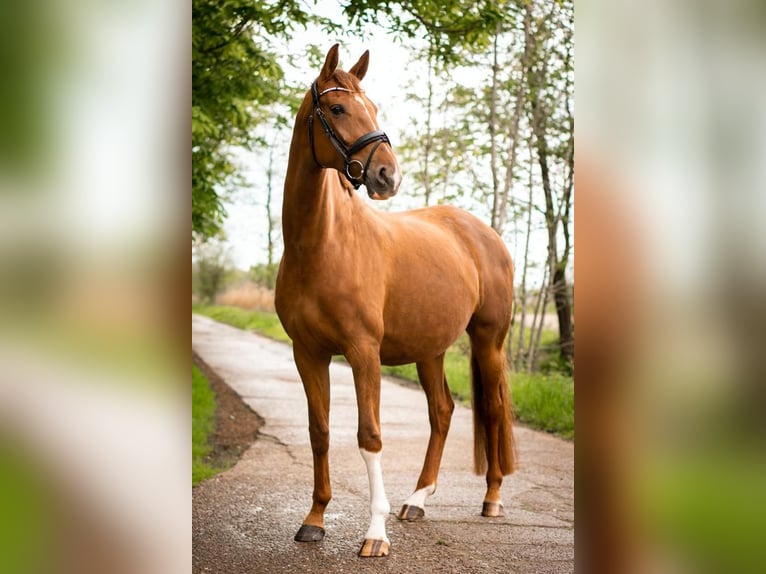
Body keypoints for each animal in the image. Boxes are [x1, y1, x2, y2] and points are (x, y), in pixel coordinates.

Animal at [276, 45, 516, 560]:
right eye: (337, 108)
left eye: (374, 108)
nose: (388, 175)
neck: (323, 244)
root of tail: (483, 233)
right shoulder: (308, 354)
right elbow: (320, 432)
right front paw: (314, 520)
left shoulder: (364, 352)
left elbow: (370, 437)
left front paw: (375, 534)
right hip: (431, 350)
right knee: (442, 412)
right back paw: (418, 499)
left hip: (488, 342)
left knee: (491, 411)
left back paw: (491, 500)